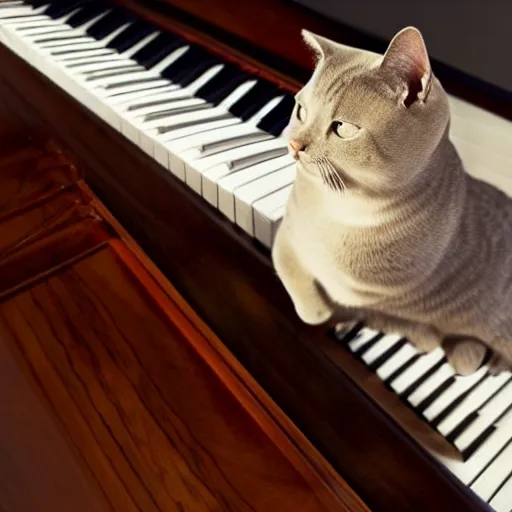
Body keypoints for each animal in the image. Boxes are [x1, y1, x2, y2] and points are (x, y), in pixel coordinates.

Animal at [272, 25, 512, 376]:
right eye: (301, 111)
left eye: (342, 128)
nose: (294, 144)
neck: (336, 207)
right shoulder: (288, 234)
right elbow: (293, 274)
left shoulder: (352, 287)